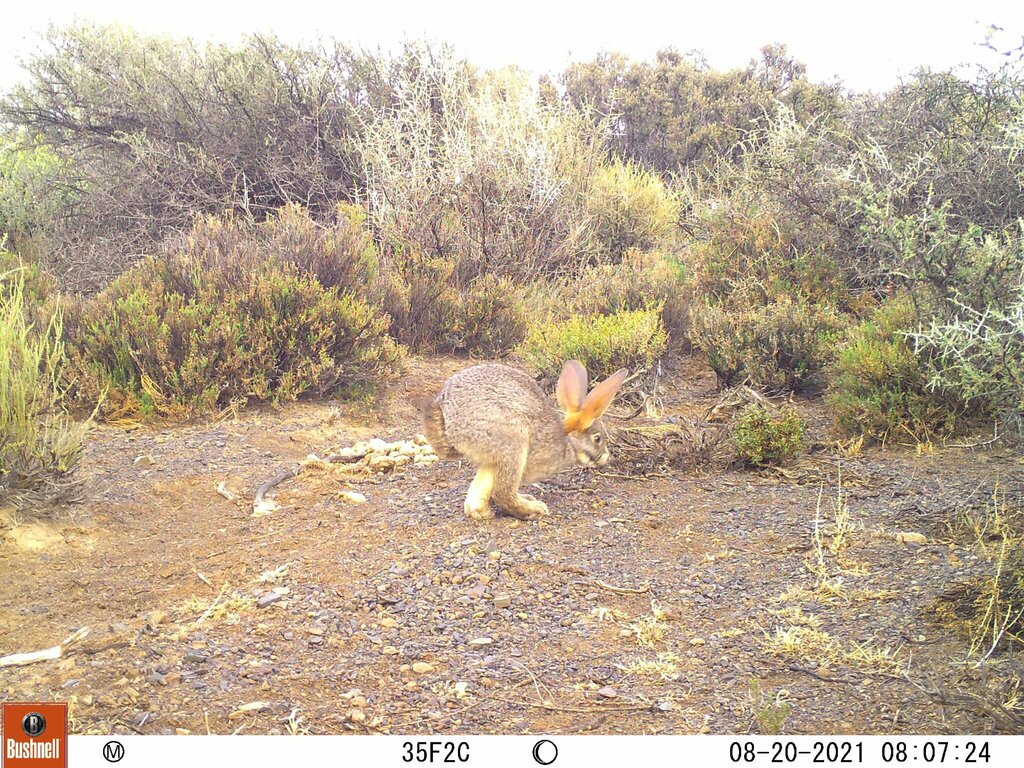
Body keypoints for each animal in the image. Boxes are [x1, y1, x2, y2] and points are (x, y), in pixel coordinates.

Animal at [422, 360, 628, 520]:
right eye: (597, 438)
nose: (605, 457)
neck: (568, 441)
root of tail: (448, 418)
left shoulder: (491, 464)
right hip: (515, 440)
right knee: (503, 493)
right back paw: (534, 510)